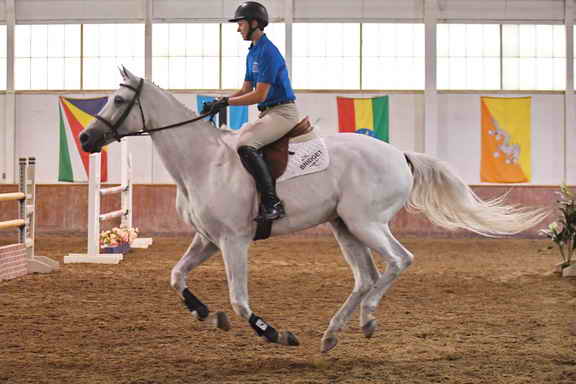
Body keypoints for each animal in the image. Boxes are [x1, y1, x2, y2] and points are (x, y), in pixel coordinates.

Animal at [80, 67, 548, 352]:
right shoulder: (208, 239)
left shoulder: (233, 240)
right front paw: (206, 315)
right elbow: (176, 276)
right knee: (366, 276)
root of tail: (399, 154)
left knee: (399, 261)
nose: (85, 140)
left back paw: (368, 320)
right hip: (344, 226)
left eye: (118, 100)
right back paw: (333, 333)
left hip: (366, 222)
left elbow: (239, 300)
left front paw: (274, 333)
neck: (204, 161)